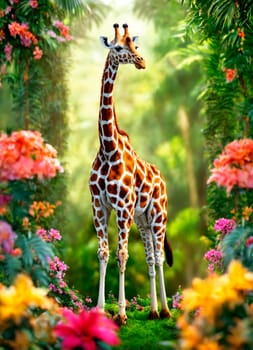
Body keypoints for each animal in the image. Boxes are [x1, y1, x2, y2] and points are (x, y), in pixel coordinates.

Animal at [89, 23, 174, 326]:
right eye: (117, 47)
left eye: (134, 45)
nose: (141, 61)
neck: (108, 147)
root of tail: (163, 180)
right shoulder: (99, 204)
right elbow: (104, 253)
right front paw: (100, 310)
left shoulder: (122, 206)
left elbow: (122, 254)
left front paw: (122, 314)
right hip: (143, 219)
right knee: (149, 257)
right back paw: (154, 310)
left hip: (159, 214)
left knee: (158, 256)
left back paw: (167, 310)